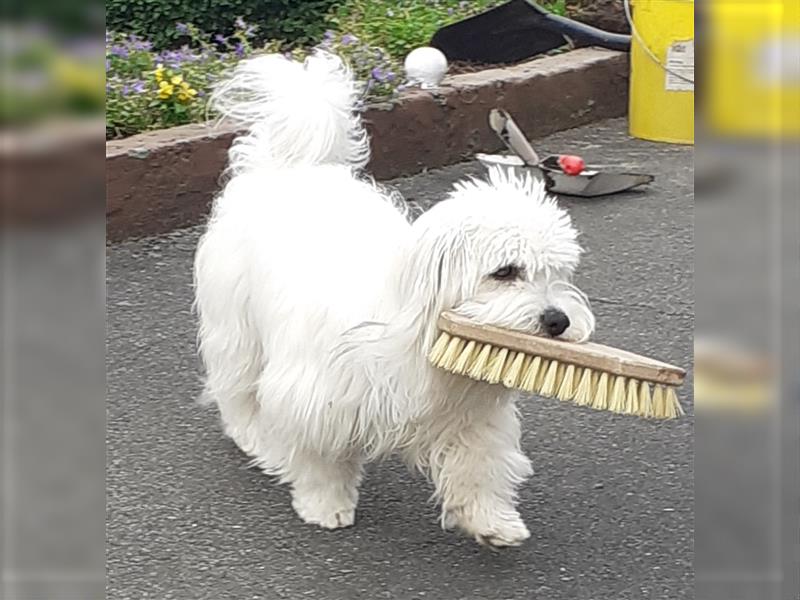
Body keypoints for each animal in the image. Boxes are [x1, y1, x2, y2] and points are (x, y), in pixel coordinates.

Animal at [194, 52, 592, 548]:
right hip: (236, 326)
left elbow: (477, 465)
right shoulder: (317, 397)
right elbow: (320, 458)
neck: (416, 327)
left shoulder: (470, 416)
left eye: (559, 274)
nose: (557, 321)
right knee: (238, 388)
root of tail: (289, 167)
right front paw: (324, 504)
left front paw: (491, 520)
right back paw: (253, 436)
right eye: (505, 272)